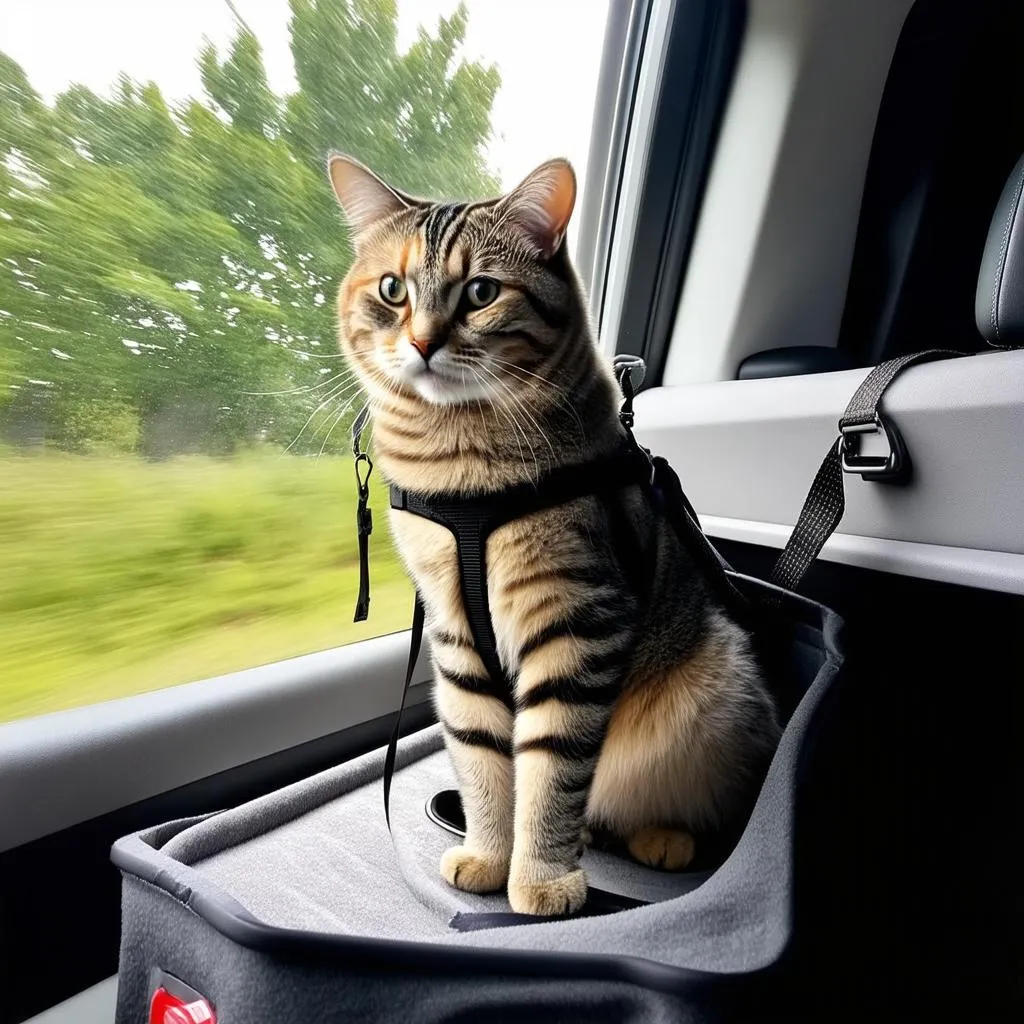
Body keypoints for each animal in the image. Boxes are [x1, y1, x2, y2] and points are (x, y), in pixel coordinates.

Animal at [327, 151, 782, 913]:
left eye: (481, 292)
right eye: (392, 289)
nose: (421, 342)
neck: (457, 461)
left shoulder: (575, 624)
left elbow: (551, 771)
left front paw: (539, 877)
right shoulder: (457, 636)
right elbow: (486, 762)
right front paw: (489, 853)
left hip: (714, 700)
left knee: (685, 805)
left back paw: (662, 837)